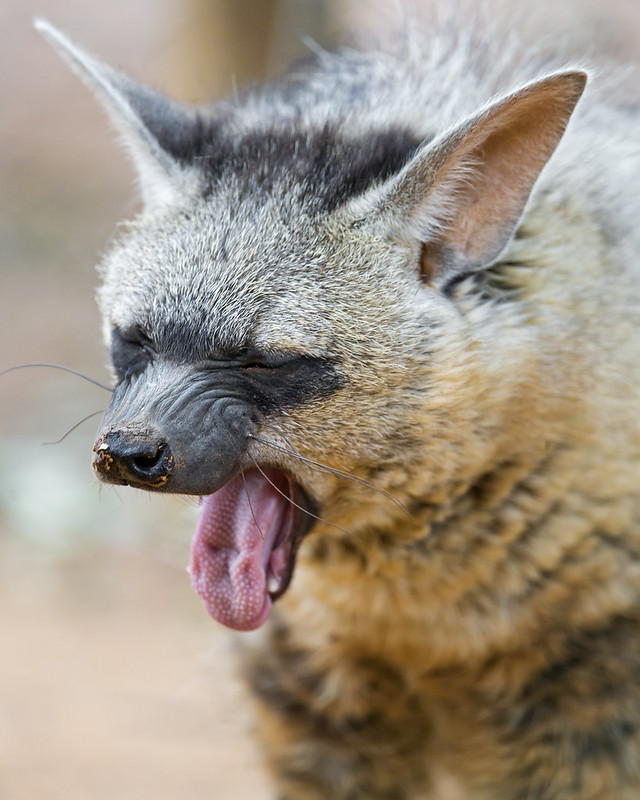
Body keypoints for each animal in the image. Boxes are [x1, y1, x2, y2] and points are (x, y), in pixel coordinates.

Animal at [37, 13, 640, 800]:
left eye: (264, 361)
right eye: (133, 339)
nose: (128, 450)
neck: (421, 626)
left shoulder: (587, 712)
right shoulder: (313, 712)